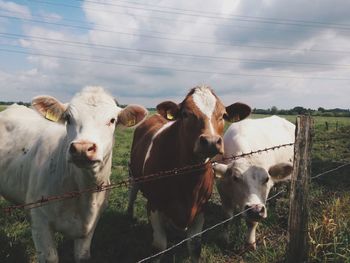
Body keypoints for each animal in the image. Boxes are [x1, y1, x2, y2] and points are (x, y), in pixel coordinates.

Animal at [0, 87, 147, 262]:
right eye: (68, 118)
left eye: (112, 120)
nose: (82, 148)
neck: (83, 192)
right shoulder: (39, 220)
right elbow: (50, 257)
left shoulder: (90, 228)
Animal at [127, 86, 250, 262]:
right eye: (185, 114)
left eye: (223, 115)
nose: (211, 141)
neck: (188, 180)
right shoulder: (154, 205)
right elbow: (159, 247)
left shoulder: (201, 208)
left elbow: (194, 246)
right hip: (134, 173)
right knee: (133, 190)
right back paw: (129, 214)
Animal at [213, 116, 296, 251]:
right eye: (235, 178)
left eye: (266, 179)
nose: (255, 210)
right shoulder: (223, 191)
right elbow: (226, 218)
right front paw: (224, 240)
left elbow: (252, 222)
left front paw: (250, 243)